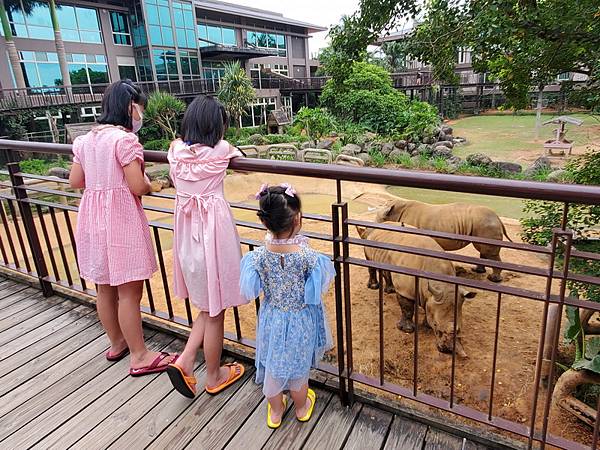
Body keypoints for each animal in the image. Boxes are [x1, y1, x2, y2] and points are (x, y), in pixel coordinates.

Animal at [356, 225, 478, 358]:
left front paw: (427, 325)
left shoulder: (432, 295)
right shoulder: (405, 290)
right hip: (368, 242)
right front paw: (407, 330)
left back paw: (390, 290)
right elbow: (407, 308)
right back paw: (374, 287)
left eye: (460, 328)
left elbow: (428, 308)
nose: (447, 351)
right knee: (371, 263)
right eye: (436, 325)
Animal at [376, 198, 510, 280]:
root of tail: (498, 218)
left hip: (486, 224)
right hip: (484, 224)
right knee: (483, 248)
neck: (394, 213)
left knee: (487, 251)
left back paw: (493, 279)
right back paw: (478, 271)